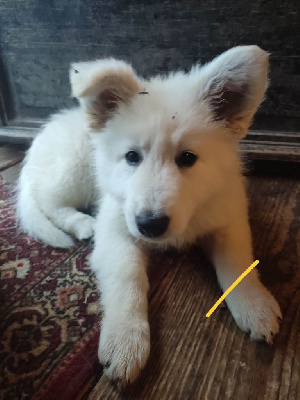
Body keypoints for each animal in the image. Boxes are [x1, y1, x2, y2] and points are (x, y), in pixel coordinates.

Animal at [18, 47, 282, 388]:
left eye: (187, 158)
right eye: (132, 157)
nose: (150, 225)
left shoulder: (226, 215)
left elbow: (238, 262)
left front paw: (254, 304)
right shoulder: (117, 228)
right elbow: (127, 277)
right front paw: (125, 341)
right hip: (74, 169)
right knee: (46, 199)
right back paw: (82, 223)